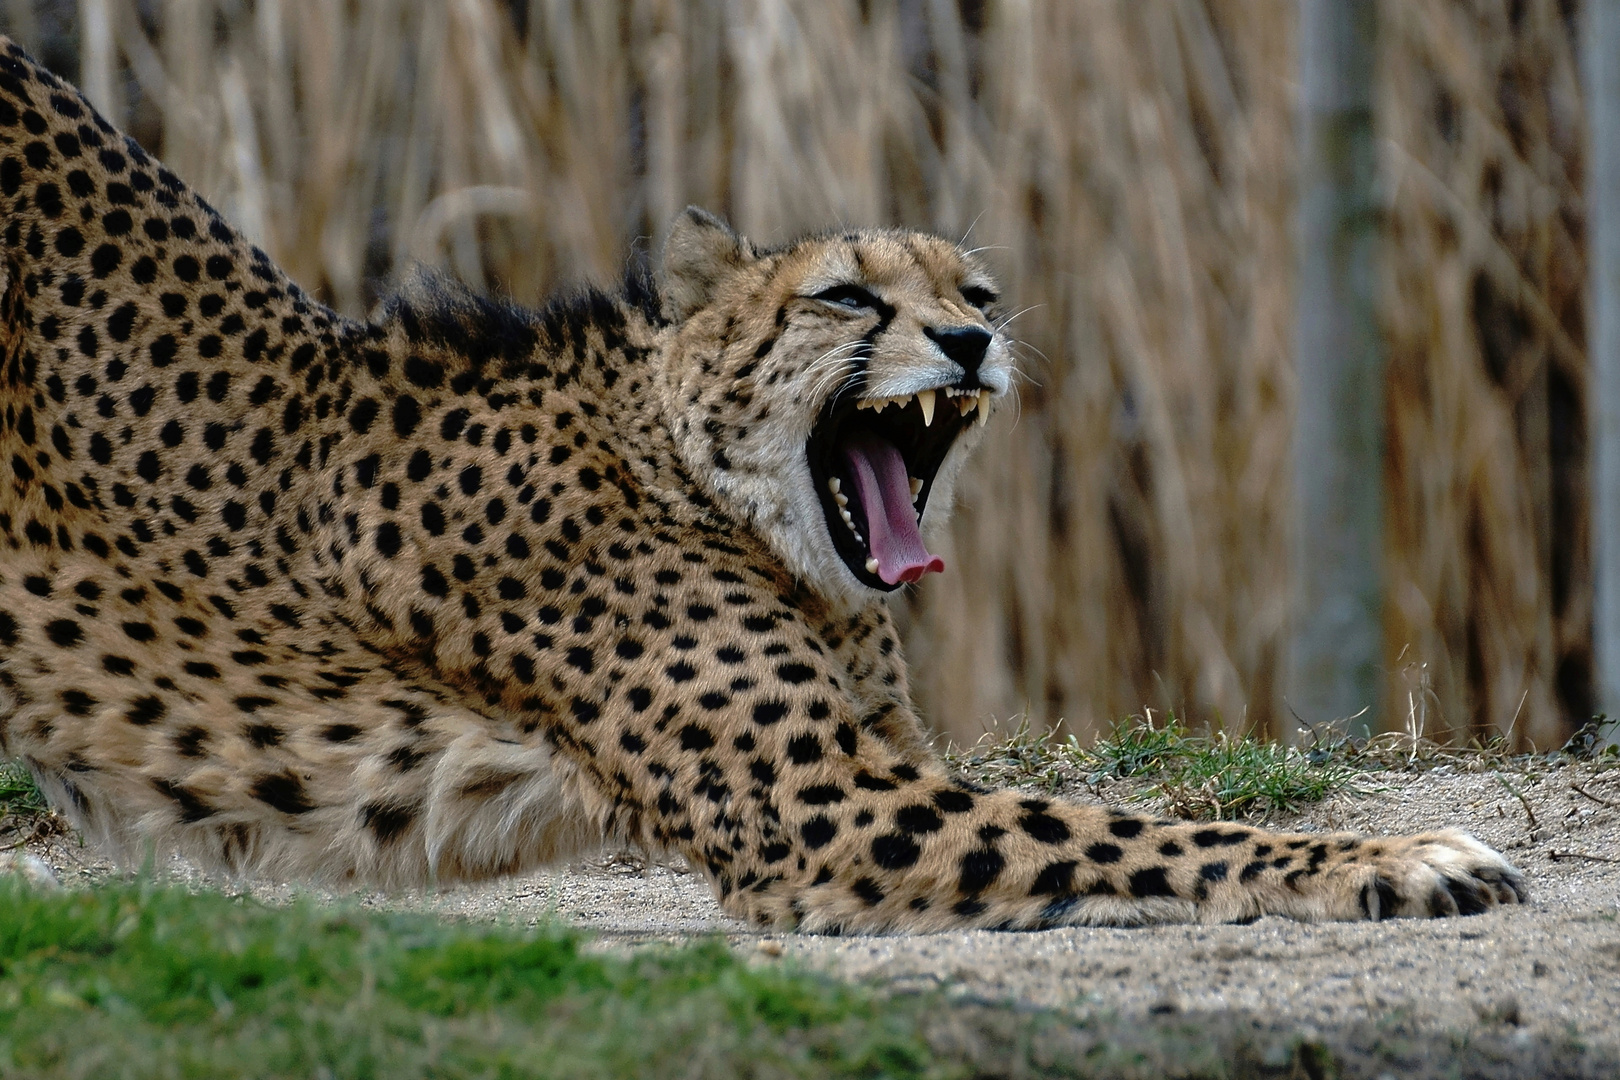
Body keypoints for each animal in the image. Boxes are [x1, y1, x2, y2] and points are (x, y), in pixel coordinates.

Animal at [0, 40, 1516, 939]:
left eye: (974, 291)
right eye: (847, 295)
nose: (970, 342)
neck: (707, 489)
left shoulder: (880, 759)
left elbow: (1098, 818)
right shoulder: (821, 802)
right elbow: (1124, 828)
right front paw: (1398, 860)